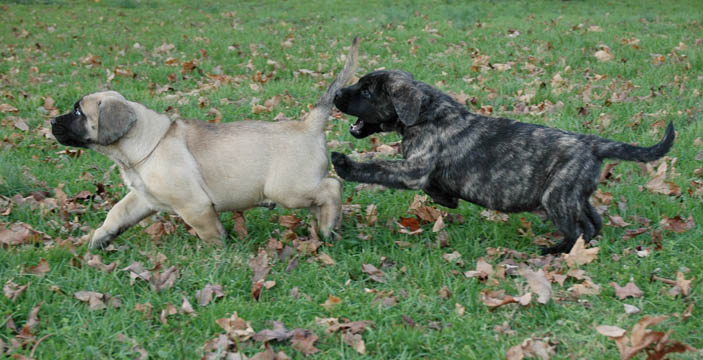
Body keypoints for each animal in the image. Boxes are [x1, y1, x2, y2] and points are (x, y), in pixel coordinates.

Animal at [330, 70, 676, 253]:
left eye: (366, 91)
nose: (335, 95)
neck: (426, 114)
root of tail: (591, 143)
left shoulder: (413, 169)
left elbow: (378, 166)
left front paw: (345, 164)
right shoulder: (420, 172)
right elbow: (431, 187)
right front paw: (447, 198)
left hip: (556, 198)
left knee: (576, 230)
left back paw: (555, 251)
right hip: (574, 194)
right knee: (593, 222)